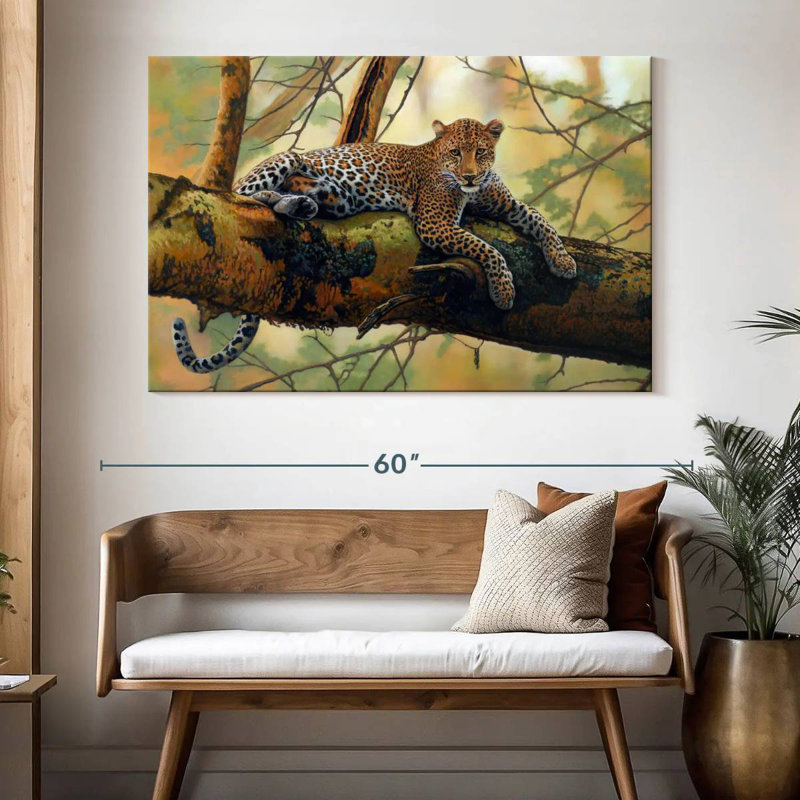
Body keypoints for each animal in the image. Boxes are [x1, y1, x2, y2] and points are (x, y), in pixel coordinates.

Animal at [172, 117, 577, 373]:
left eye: (480, 151)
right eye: (454, 152)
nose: (469, 176)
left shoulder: (504, 205)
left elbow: (539, 218)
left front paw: (564, 262)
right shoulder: (436, 224)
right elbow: (488, 248)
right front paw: (504, 289)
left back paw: (301, 204)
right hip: (286, 159)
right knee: (246, 197)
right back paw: (288, 202)